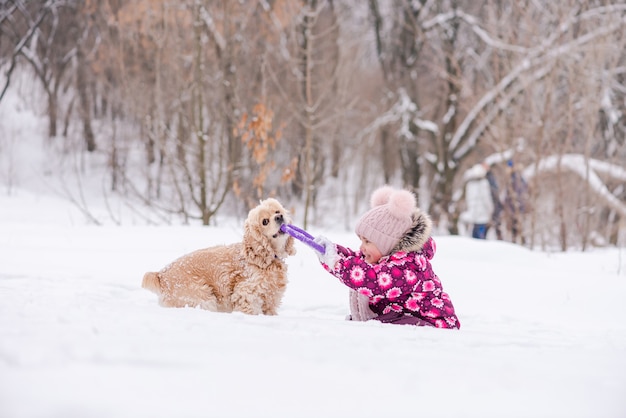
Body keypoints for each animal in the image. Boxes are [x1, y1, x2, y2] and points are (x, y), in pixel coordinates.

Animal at [141, 198, 294, 314]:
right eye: (265, 221)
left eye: (277, 211)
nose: (279, 217)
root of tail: (160, 275)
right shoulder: (247, 294)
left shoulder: (271, 298)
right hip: (204, 298)